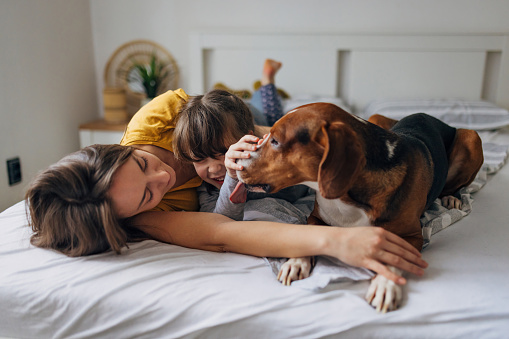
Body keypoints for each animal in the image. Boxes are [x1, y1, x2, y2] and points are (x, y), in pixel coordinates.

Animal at [232, 103, 482, 314]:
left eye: (275, 141)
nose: (235, 162)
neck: (346, 199)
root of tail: (427, 115)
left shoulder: (412, 236)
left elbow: (393, 260)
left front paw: (385, 284)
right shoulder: (315, 218)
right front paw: (296, 262)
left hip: (472, 137)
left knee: (456, 184)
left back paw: (451, 197)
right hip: (377, 117)